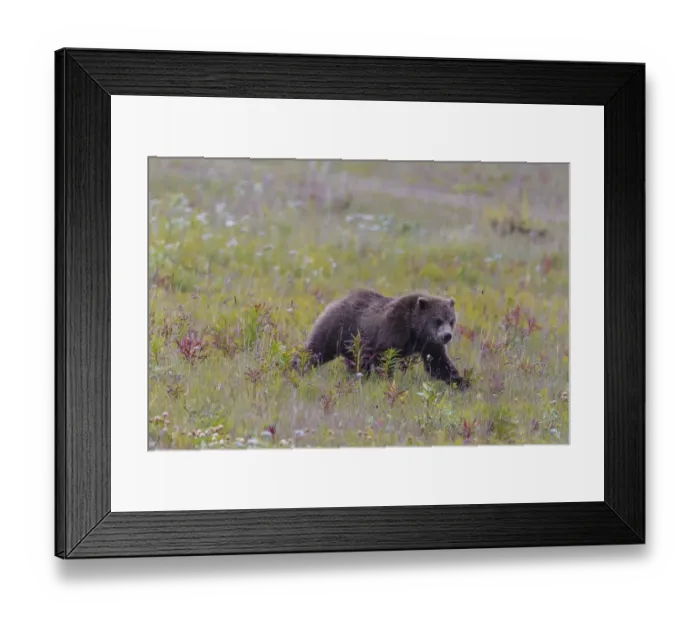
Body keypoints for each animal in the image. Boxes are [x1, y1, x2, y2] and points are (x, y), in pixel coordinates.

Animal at [302, 288, 469, 390]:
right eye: (438, 320)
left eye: (451, 320)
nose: (447, 335)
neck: (415, 330)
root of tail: (336, 301)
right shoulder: (392, 330)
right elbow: (384, 359)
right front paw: (385, 381)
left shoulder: (429, 344)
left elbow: (439, 364)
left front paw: (462, 383)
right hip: (339, 328)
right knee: (316, 350)